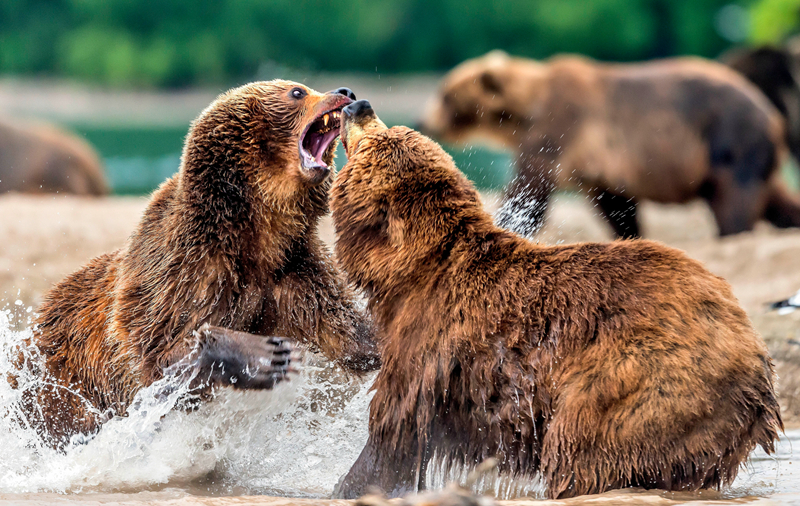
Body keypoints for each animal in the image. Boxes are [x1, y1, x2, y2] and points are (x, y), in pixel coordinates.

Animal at [21, 79, 378, 446]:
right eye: (297, 92)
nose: (346, 91)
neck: (257, 235)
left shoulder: (297, 271)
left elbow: (354, 338)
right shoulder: (186, 270)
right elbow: (156, 354)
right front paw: (262, 354)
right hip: (61, 384)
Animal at [330, 101, 780, 500]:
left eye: (378, 137)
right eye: (389, 129)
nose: (359, 104)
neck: (405, 274)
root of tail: (753, 347)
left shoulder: (428, 342)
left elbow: (394, 429)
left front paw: (350, 485)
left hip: (646, 375)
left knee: (583, 448)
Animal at [418, 51, 800, 239]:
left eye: (445, 94)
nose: (425, 121)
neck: (523, 114)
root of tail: (773, 115)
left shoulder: (561, 128)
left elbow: (529, 188)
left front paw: (507, 220)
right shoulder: (596, 167)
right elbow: (616, 204)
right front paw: (629, 233)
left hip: (727, 138)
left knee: (735, 197)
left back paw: (732, 232)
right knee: (772, 196)